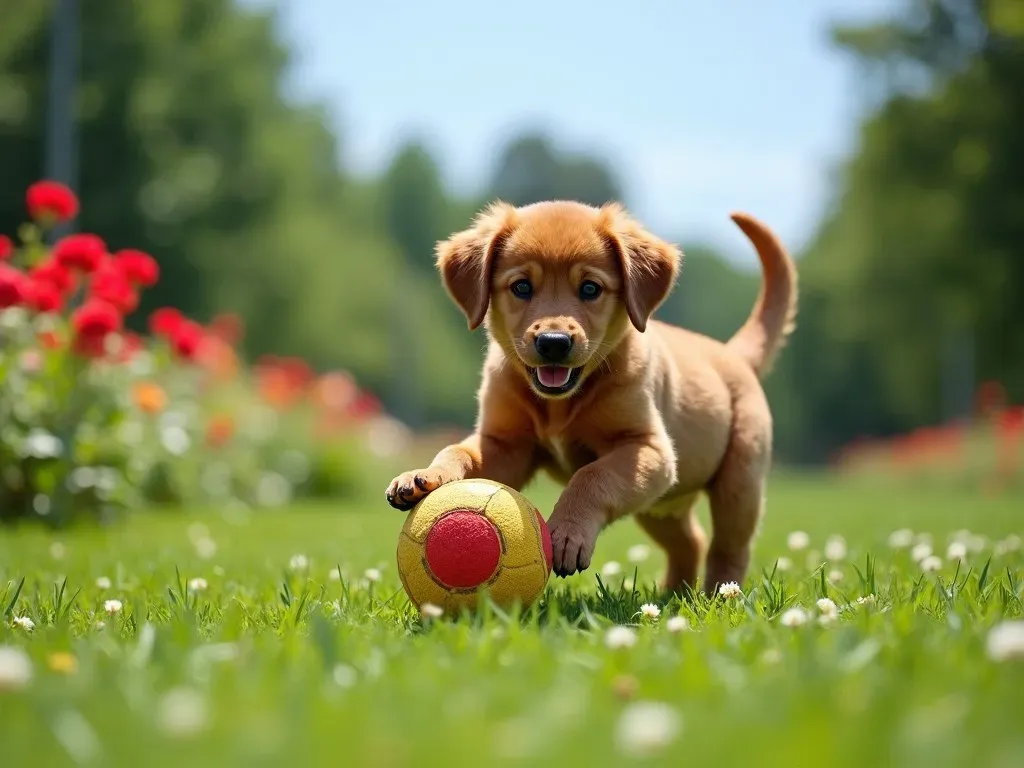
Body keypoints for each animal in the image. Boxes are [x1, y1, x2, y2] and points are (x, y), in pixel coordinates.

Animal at [387, 199, 794, 593]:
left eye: (590, 289)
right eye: (521, 287)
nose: (553, 342)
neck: (560, 404)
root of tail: (731, 354)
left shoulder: (648, 448)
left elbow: (591, 475)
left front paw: (567, 533)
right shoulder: (504, 445)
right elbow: (458, 451)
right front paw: (425, 476)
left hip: (738, 483)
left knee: (729, 548)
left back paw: (719, 596)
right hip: (660, 506)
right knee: (690, 541)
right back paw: (674, 596)